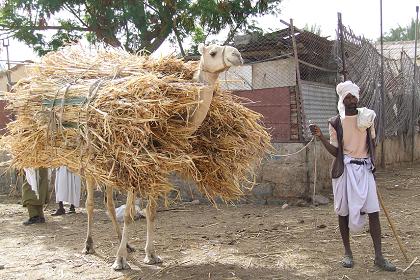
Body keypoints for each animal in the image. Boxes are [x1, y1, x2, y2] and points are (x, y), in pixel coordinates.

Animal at [80, 44, 243, 272]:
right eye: (212, 52)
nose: (237, 55)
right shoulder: (136, 168)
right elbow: (129, 215)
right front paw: (119, 261)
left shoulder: (158, 170)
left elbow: (151, 211)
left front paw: (151, 255)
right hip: (88, 163)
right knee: (90, 203)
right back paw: (89, 245)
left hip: (110, 169)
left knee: (109, 203)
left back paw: (127, 245)